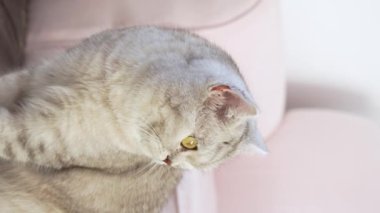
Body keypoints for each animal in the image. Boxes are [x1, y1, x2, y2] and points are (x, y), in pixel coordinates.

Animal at [0, 27, 266, 213]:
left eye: (191, 166)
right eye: (190, 142)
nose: (168, 163)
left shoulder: (45, 139)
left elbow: (8, 136)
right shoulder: (36, 75)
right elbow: (8, 84)